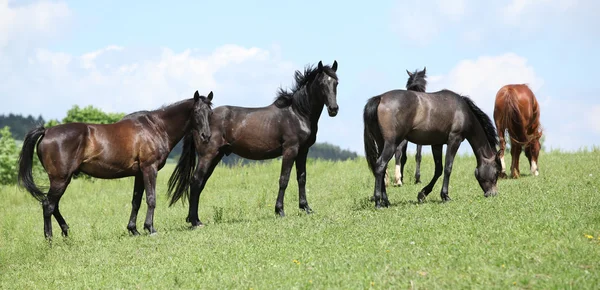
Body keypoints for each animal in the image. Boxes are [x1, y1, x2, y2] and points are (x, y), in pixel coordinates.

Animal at [17, 91, 214, 240]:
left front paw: (133, 229)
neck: (156, 127)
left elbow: (136, 201)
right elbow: (151, 199)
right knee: (48, 205)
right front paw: (150, 228)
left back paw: (65, 232)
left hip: (61, 179)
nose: (206, 136)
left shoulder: (139, 173)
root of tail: (46, 131)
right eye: (197, 112)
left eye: (210, 113)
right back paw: (49, 239)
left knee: (53, 205)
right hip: (60, 179)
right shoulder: (149, 169)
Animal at [166, 60, 340, 225]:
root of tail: (198, 122)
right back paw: (194, 221)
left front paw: (306, 207)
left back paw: (194, 218)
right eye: (322, 83)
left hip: (216, 156)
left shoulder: (303, 151)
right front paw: (279, 210)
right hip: (207, 155)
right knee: (195, 182)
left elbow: (302, 178)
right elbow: (284, 179)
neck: (297, 113)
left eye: (336, 82)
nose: (333, 109)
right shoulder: (290, 150)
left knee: (200, 183)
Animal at [366, 89, 502, 207]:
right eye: (496, 173)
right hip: (392, 144)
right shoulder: (454, 140)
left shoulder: (437, 144)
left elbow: (439, 169)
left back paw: (386, 201)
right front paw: (445, 196)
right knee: (380, 165)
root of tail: (380, 98)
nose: (493, 194)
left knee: (382, 169)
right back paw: (378, 202)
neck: (463, 112)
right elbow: (448, 168)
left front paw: (422, 194)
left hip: (382, 143)